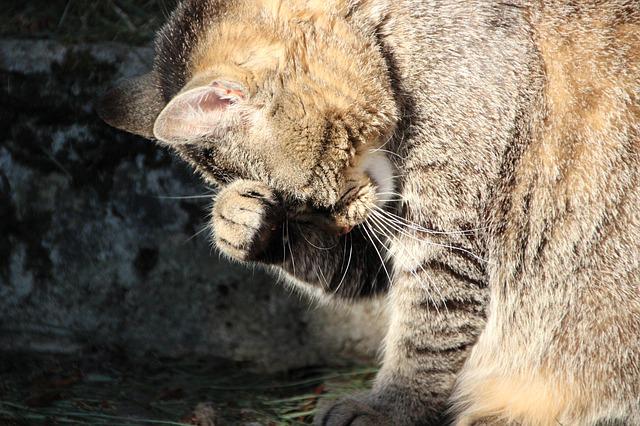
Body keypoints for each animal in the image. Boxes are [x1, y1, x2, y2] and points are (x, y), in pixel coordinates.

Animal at [100, 0, 640, 424]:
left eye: (314, 198)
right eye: (300, 208)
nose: (340, 220)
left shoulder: (443, 240)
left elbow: (424, 338)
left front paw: (390, 408)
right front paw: (240, 221)